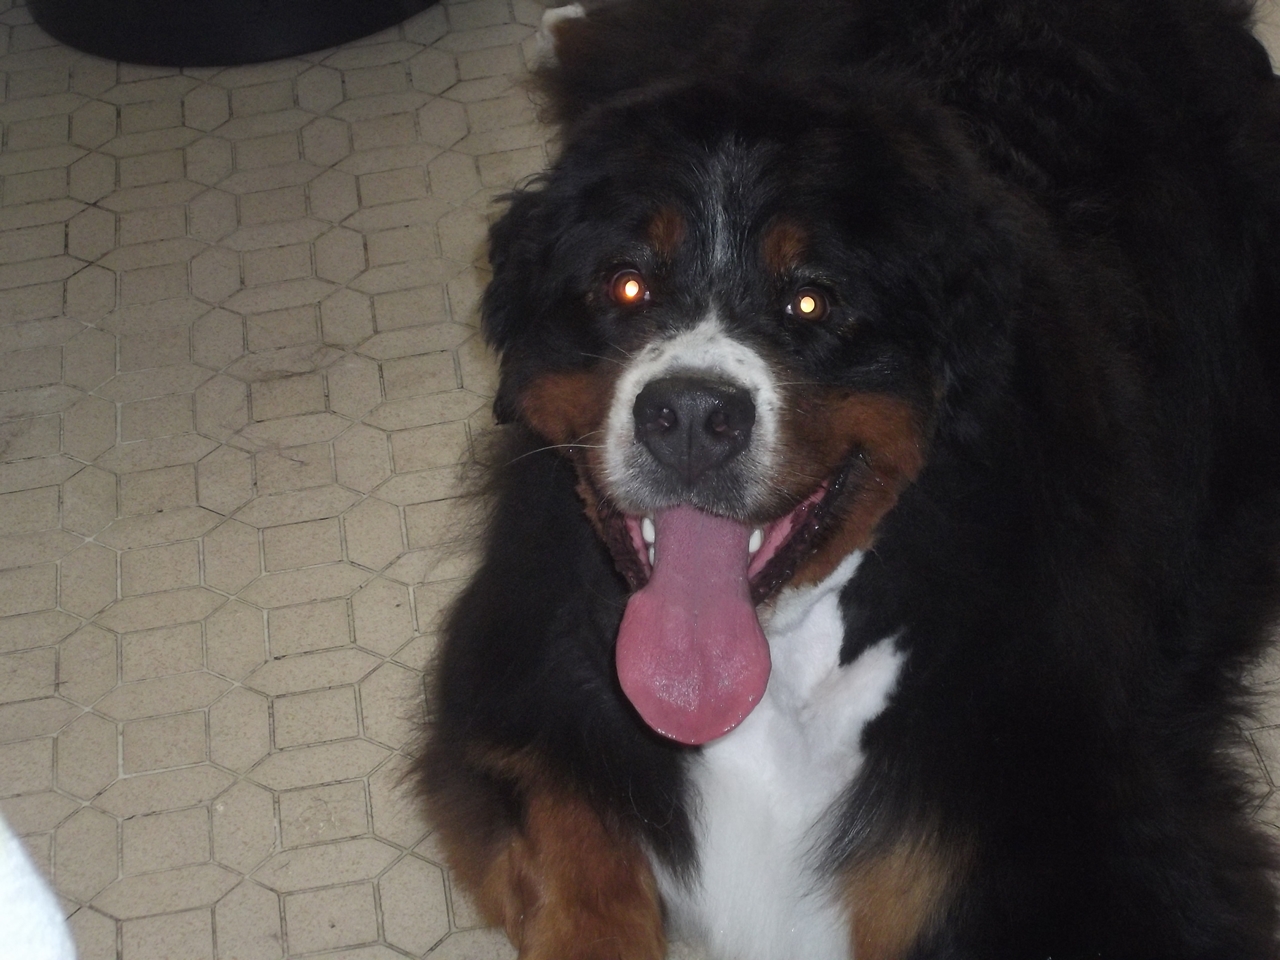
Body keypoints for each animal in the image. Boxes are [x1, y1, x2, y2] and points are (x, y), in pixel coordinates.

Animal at [416, 1, 1280, 957]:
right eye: (627, 285)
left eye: (811, 301)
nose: (690, 418)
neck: (778, 674)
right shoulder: (523, 691)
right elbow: (581, 870)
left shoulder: (1098, 838)